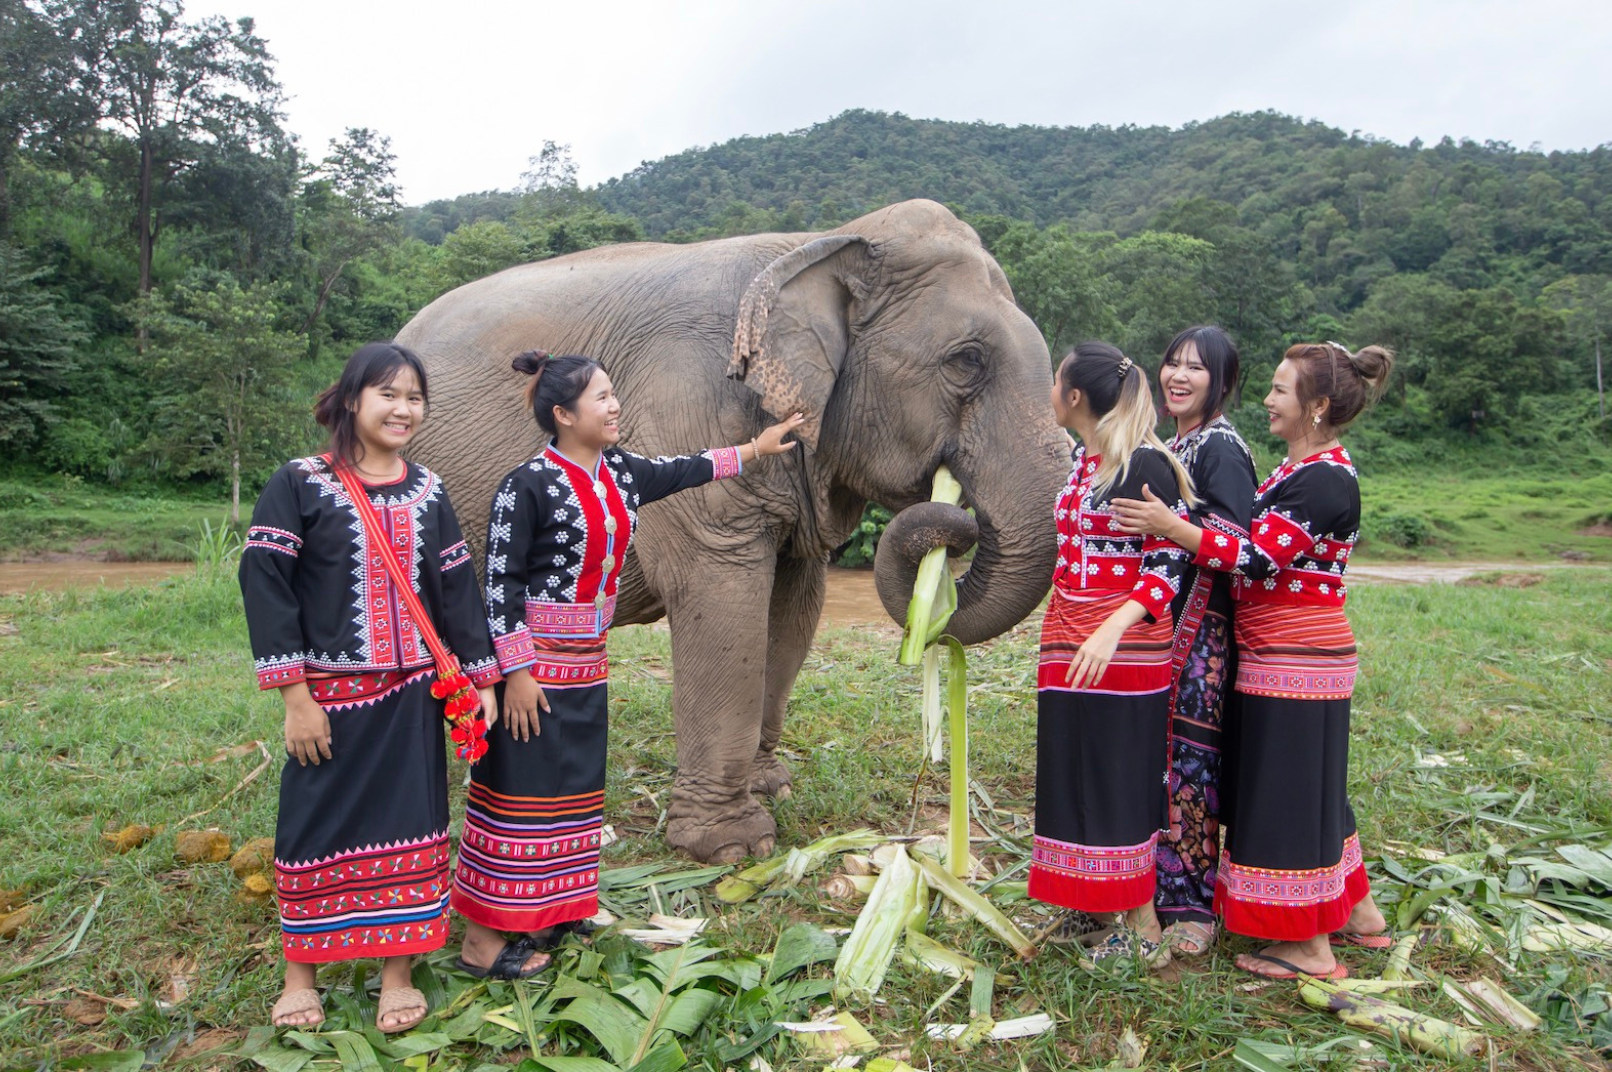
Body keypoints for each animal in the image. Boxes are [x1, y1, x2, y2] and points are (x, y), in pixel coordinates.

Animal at [396, 199, 1071, 863]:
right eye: (966, 361)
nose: (953, 516)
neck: (825, 241)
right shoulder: (685, 406)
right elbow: (723, 600)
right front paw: (731, 848)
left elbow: (794, 605)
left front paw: (772, 786)